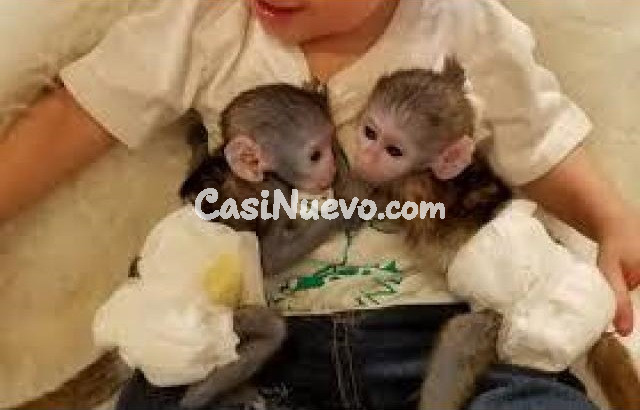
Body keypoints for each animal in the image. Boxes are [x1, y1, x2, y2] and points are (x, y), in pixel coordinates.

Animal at [346, 61, 640, 410]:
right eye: (369, 132)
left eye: (394, 150)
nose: (366, 156)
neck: (442, 176)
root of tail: (595, 330)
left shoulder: (418, 189)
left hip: (514, 329)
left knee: (461, 334)